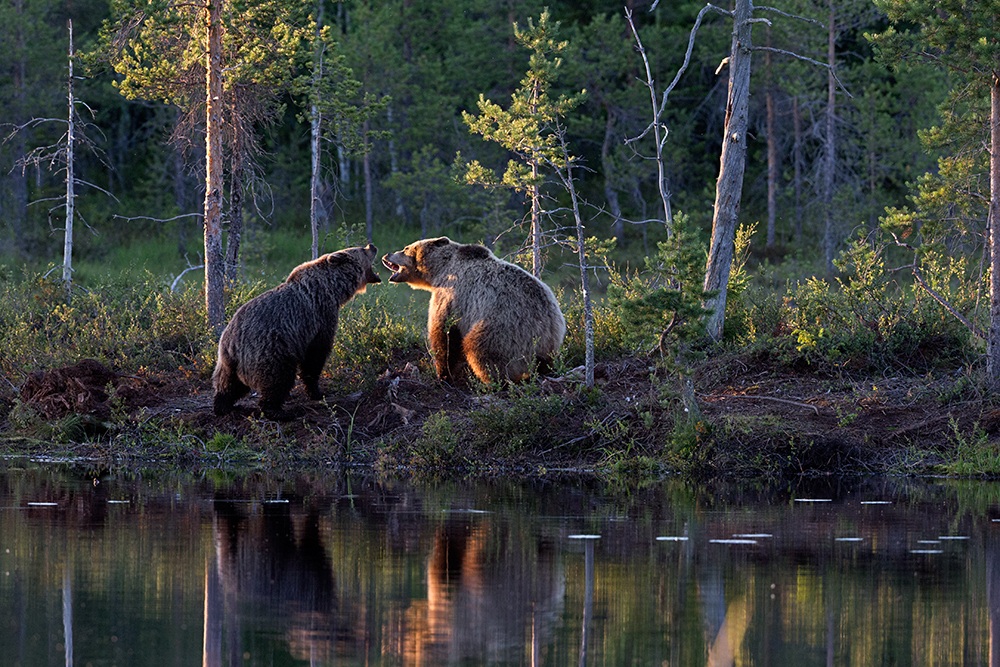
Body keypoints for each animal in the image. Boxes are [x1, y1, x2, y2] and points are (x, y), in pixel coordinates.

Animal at [213, 244, 381, 419]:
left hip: (228, 360)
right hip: (270, 350)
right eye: (361, 249)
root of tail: (232, 344)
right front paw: (317, 392)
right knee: (277, 379)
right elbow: (315, 357)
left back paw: (223, 406)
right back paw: (279, 411)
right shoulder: (320, 318)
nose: (372, 246)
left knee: (228, 384)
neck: (332, 289)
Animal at [381, 237, 565, 384]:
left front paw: (443, 374)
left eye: (406, 248)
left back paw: (492, 381)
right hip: (550, 340)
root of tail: (547, 323)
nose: (386, 255)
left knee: (479, 349)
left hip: (506, 327)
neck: (439, 270)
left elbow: (443, 333)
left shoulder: (451, 294)